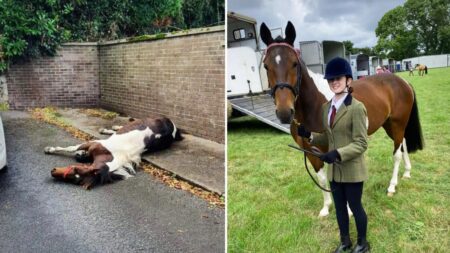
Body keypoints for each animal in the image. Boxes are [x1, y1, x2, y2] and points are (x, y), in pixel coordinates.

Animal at [44, 116, 181, 188]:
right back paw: (109, 129)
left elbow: (71, 148)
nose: (52, 172)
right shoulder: (92, 143)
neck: (109, 156)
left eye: (76, 174)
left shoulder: (93, 143)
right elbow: (72, 148)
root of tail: (172, 124)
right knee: (124, 126)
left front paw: (49, 149)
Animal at [260, 21, 422, 217]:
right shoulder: (311, 150)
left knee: (397, 153)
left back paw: (392, 186)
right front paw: (326, 208)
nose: (284, 112)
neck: (314, 105)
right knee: (403, 143)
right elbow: (322, 178)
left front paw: (348, 211)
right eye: (266, 66)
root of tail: (402, 82)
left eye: (294, 63)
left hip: (398, 123)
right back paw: (407, 173)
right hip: (390, 125)